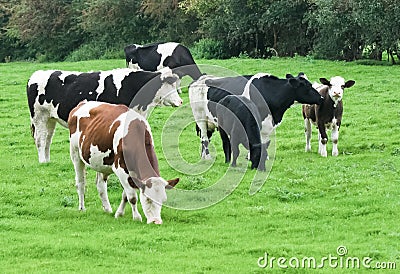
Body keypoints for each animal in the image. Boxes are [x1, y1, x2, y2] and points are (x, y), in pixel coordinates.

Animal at [25, 67, 180, 164]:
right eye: (170, 84)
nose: (180, 101)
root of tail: (37, 74)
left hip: (50, 119)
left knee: (47, 139)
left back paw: (47, 160)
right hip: (39, 117)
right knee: (40, 139)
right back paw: (42, 161)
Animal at [189, 73, 324, 163]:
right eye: (307, 86)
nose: (321, 98)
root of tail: (199, 80)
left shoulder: (267, 123)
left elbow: (264, 139)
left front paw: (265, 156)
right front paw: (250, 157)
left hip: (210, 122)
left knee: (205, 138)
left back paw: (203, 157)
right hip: (200, 117)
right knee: (204, 138)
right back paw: (207, 157)